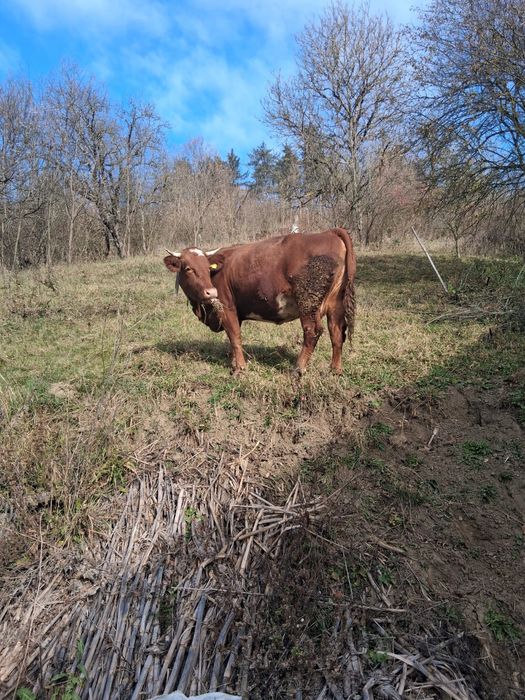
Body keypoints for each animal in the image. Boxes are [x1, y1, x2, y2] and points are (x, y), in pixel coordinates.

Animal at [163, 228, 356, 375]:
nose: (211, 292)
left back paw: (298, 369)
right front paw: (234, 363)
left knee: (312, 332)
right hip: (335, 305)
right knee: (336, 333)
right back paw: (335, 370)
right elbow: (233, 338)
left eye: (207, 268)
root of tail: (328, 232)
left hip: (308, 305)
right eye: (188, 268)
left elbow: (234, 336)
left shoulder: (227, 308)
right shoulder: (237, 313)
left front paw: (240, 368)